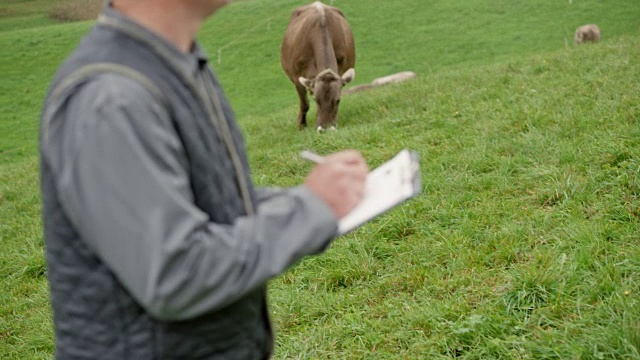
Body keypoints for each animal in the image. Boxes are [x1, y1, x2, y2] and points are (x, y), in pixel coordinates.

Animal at [282, 1, 358, 131]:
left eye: (338, 100)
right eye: (316, 100)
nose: (325, 129)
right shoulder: (297, 78)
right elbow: (304, 104)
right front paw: (301, 125)